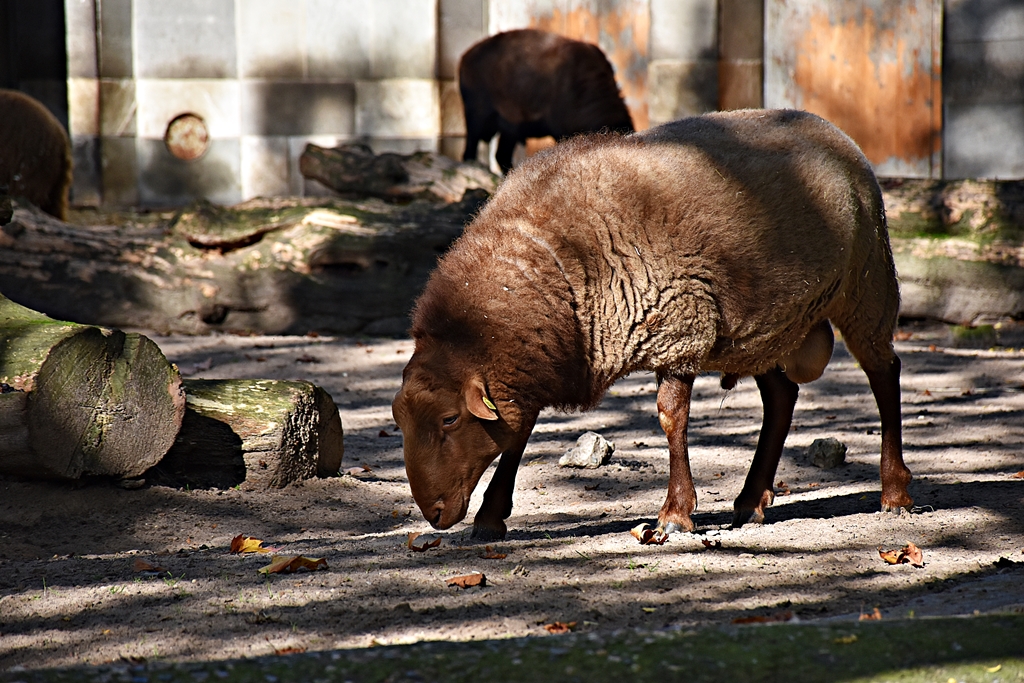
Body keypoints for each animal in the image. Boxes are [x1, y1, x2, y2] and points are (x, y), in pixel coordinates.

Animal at [392, 109, 913, 541]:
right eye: (398, 420)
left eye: (450, 419)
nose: (433, 514)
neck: (551, 265)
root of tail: (831, 128)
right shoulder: (531, 366)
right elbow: (517, 433)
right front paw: (491, 517)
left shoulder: (680, 328)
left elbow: (670, 417)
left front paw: (675, 513)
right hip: (766, 327)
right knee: (782, 397)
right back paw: (750, 501)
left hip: (867, 282)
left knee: (883, 373)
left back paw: (894, 492)